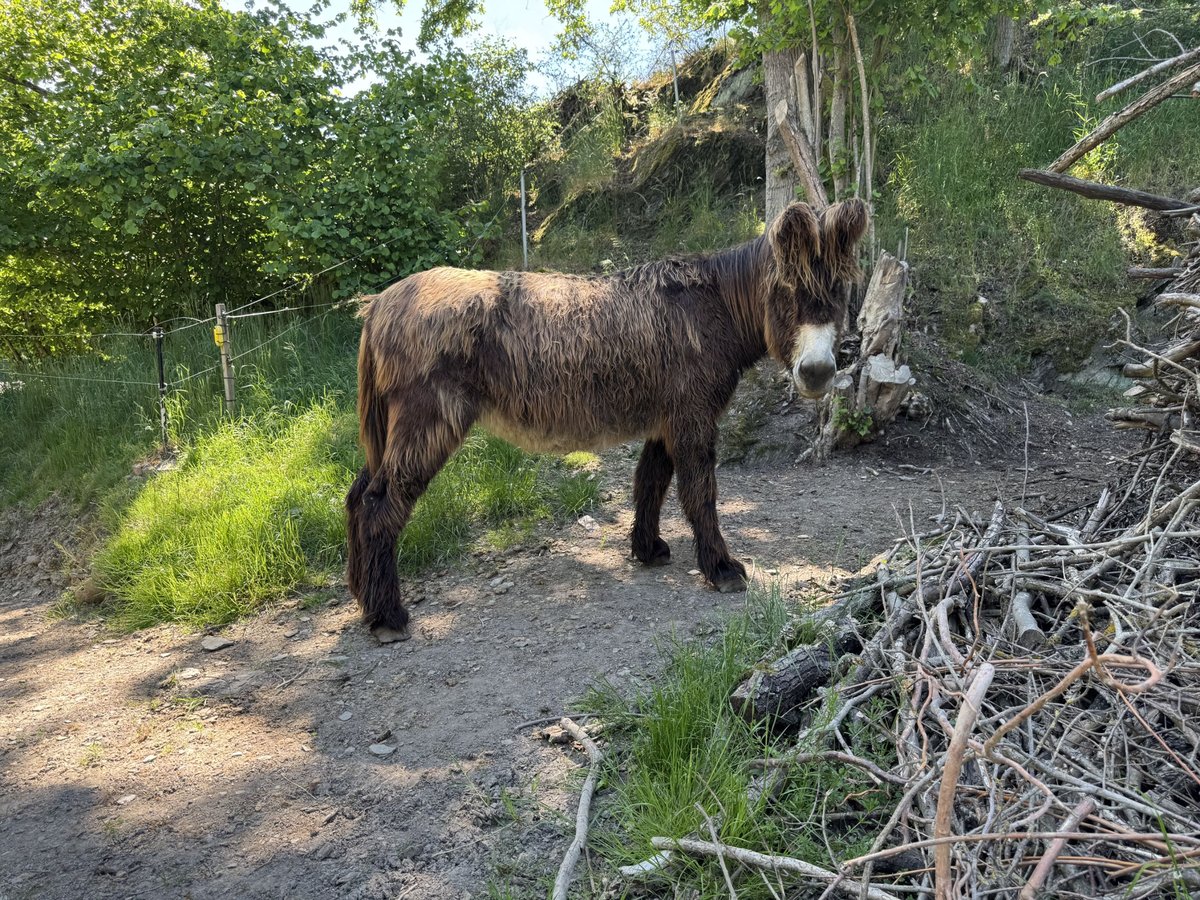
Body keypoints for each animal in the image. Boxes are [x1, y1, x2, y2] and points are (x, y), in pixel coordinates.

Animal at [346, 198, 869, 642]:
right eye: (787, 292)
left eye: (838, 291)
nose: (818, 373)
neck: (716, 304)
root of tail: (384, 301)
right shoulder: (692, 417)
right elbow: (699, 493)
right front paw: (721, 569)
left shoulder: (666, 420)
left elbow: (651, 482)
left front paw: (647, 549)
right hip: (429, 420)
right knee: (380, 506)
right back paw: (388, 616)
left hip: (397, 427)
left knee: (357, 496)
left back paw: (363, 600)